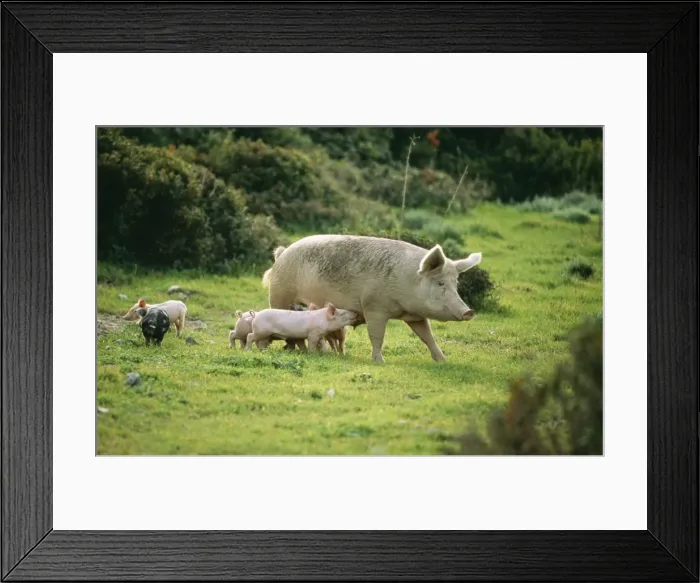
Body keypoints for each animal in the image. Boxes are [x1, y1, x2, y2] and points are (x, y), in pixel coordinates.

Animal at [262, 235, 482, 363]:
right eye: (440, 283)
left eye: (455, 283)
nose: (468, 311)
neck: (407, 282)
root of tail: (282, 253)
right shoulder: (374, 308)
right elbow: (377, 336)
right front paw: (379, 362)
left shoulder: (415, 316)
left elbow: (427, 336)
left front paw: (443, 361)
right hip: (280, 294)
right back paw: (289, 350)